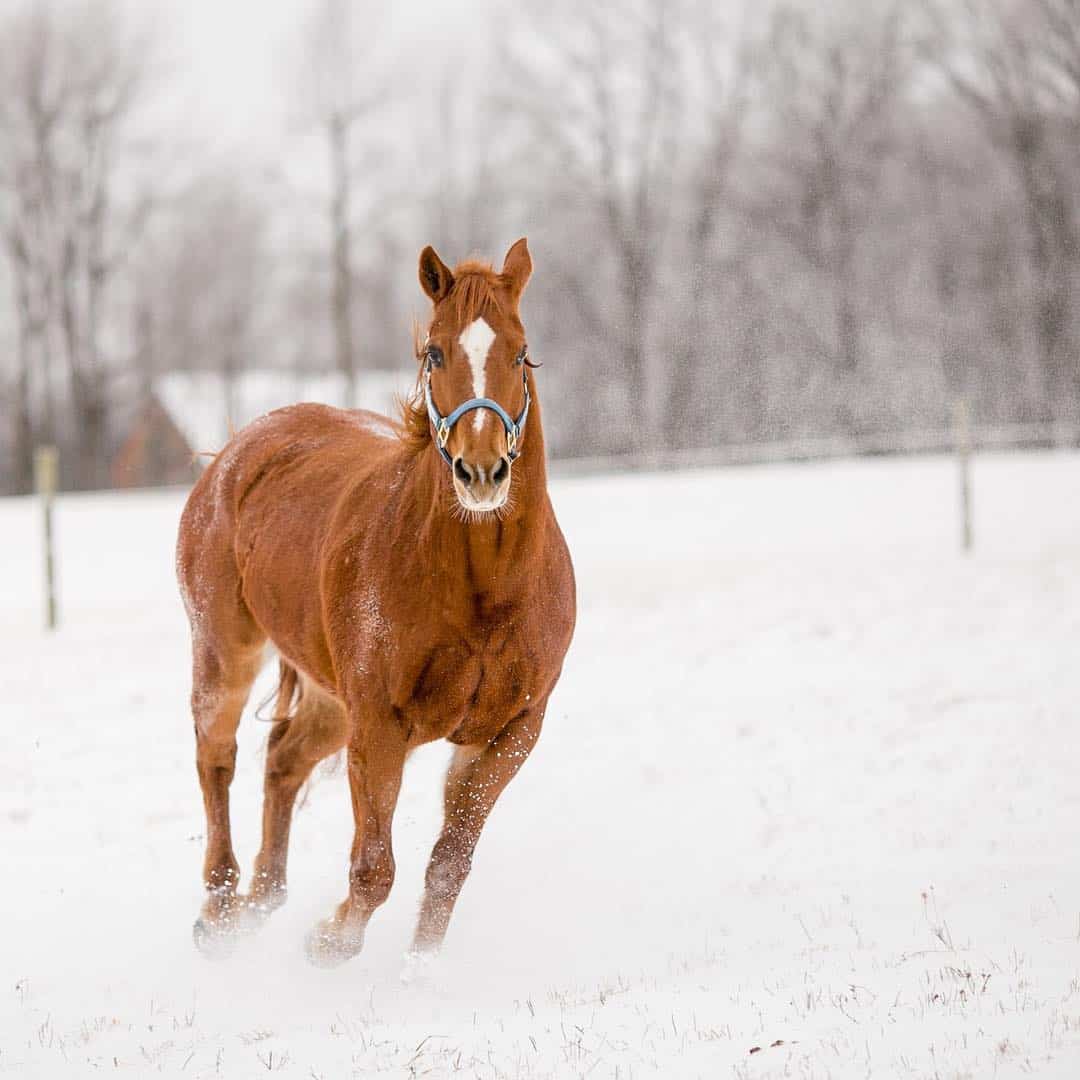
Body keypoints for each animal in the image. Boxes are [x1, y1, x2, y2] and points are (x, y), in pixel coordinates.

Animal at [177, 240, 578, 967]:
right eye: (436, 353)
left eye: (520, 352)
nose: (482, 472)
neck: (483, 594)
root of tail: (237, 451)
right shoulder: (380, 723)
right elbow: (374, 867)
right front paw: (331, 941)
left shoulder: (510, 731)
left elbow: (449, 864)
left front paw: (416, 973)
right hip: (225, 652)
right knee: (216, 758)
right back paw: (220, 911)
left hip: (330, 700)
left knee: (282, 760)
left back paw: (258, 903)